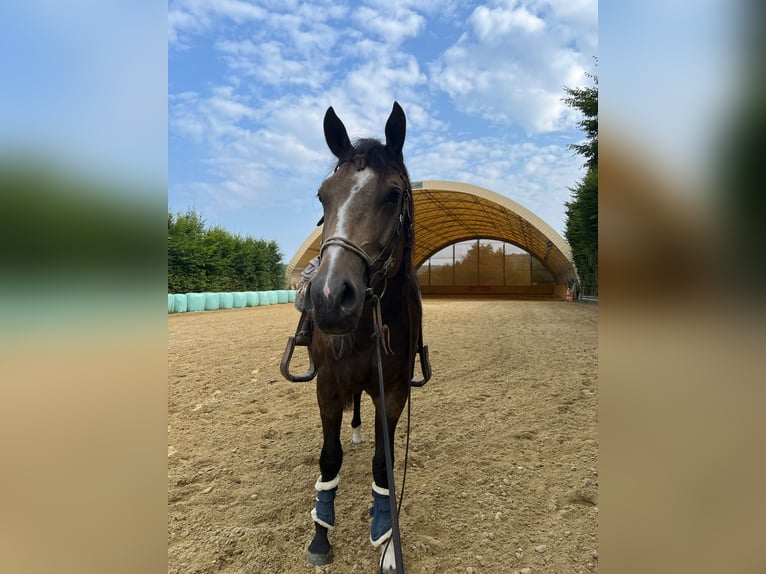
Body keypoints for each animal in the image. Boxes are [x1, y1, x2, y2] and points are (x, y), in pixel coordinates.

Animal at [304, 101, 426, 572]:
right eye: (323, 196)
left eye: (393, 195)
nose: (329, 297)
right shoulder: (327, 386)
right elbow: (329, 459)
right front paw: (320, 537)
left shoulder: (392, 392)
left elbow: (383, 466)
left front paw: (388, 542)